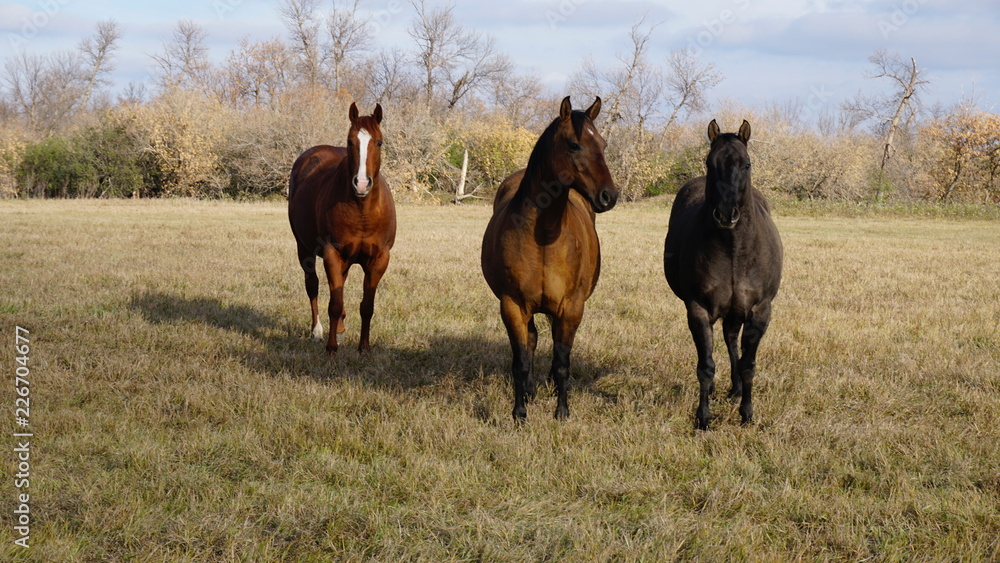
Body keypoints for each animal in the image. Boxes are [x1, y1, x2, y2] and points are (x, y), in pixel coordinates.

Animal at [288, 102, 396, 355]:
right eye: (350, 142)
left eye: (379, 142)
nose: (362, 183)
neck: (363, 211)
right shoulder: (331, 254)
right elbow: (334, 304)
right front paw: (331, 348)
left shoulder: (379, 259)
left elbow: (367, 306)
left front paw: (364, 348)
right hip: (304, 249)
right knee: (313, 286)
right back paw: (317, 331)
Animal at [482, 96, 619, 423]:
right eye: (574, 145)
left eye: (603, 144)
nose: (610, 195)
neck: (544, 236)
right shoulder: (513, 306)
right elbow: (520, 361)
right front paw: (519, 413)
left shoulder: (571, 308)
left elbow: (561, 362)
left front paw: (562, 411)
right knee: (532, 340)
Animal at [663, 119, 783, 430]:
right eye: (710, 163)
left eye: (747, 163)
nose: (727, 215)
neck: (733, 250)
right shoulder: (698, 309)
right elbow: (705, 366)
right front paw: (703, 417)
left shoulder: (759, 311)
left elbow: (748, 364)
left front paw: (747, 413)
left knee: (731, 341)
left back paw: (736, 388)